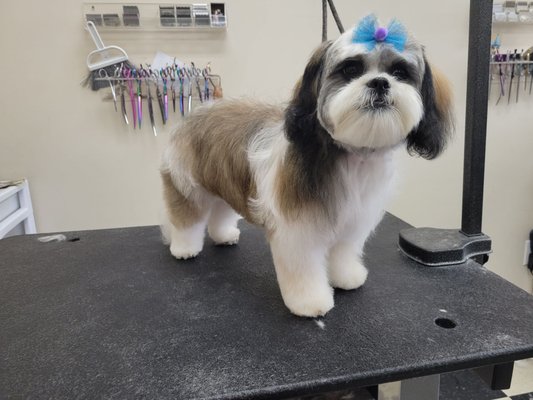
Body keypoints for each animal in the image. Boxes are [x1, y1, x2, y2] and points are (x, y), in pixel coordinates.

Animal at [160, 14, 450, 316]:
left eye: (400, 72)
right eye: (350, 69)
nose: (380, 82)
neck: (351, 156)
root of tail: (198, 111)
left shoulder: (351, 223)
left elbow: (343, 253)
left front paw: (346, 277)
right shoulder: (298, 230)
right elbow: (304, 269)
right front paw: (310, 301)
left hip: (225, 180)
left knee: (220, 210)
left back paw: (224, 234)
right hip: (187, 184)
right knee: (186, 218)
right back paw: (184, 248)